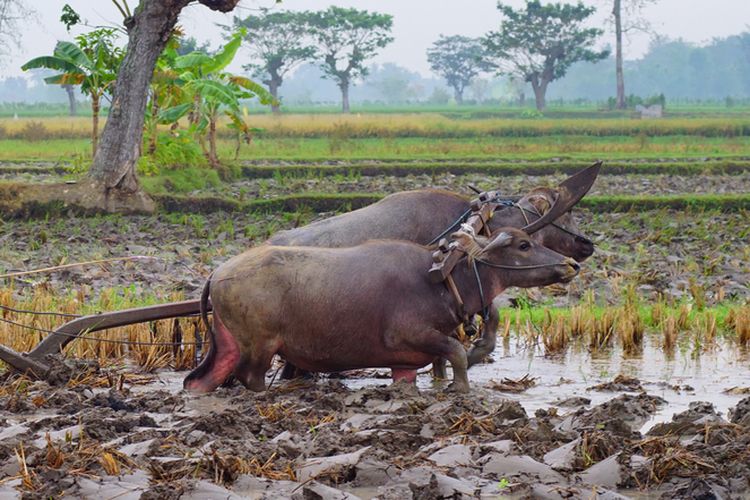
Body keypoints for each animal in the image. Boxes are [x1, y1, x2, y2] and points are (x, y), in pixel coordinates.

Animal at [184, 227, 580, 394]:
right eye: (524, 244)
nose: (572, 264)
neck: (441, 278)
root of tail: (218, 272)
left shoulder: (406, 360)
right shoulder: (410, 334)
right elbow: (456, 352)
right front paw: (460, 388)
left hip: (227, 344)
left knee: (201, 380)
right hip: (260, 347)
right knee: (249, 377)